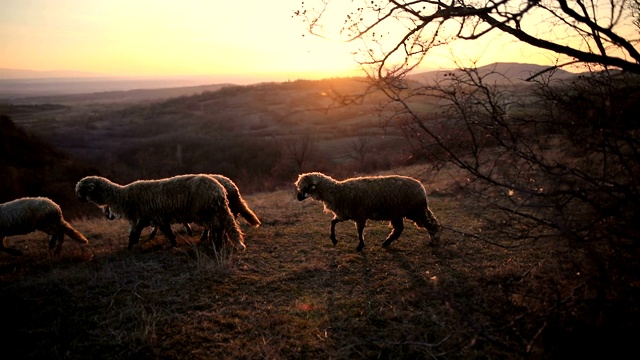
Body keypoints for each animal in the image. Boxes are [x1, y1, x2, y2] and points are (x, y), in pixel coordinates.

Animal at [75, 174, 245, 250]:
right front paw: (131, 245)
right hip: (213, 211)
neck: (122, 195)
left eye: (81, 190)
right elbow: (138, 232)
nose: (79, 199)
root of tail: (220, 190)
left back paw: (217, 243)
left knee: (217, 228)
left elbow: (160, 232)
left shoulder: (149, 216)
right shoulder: (150, 217)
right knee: (219, 227)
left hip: (207, 212)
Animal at [294, 172, 440, 252]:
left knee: (432, 224)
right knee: (399, 229)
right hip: (398, 212)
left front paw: (360, 246)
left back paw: (434, 241)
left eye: (306, 187)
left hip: (415, 210)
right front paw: (334, 240)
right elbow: (333, 222)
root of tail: (422, 188)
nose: (298, 197)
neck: (337, 192)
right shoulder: (345, 213)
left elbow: (359, 231)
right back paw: (386, 243)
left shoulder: (359, 214)